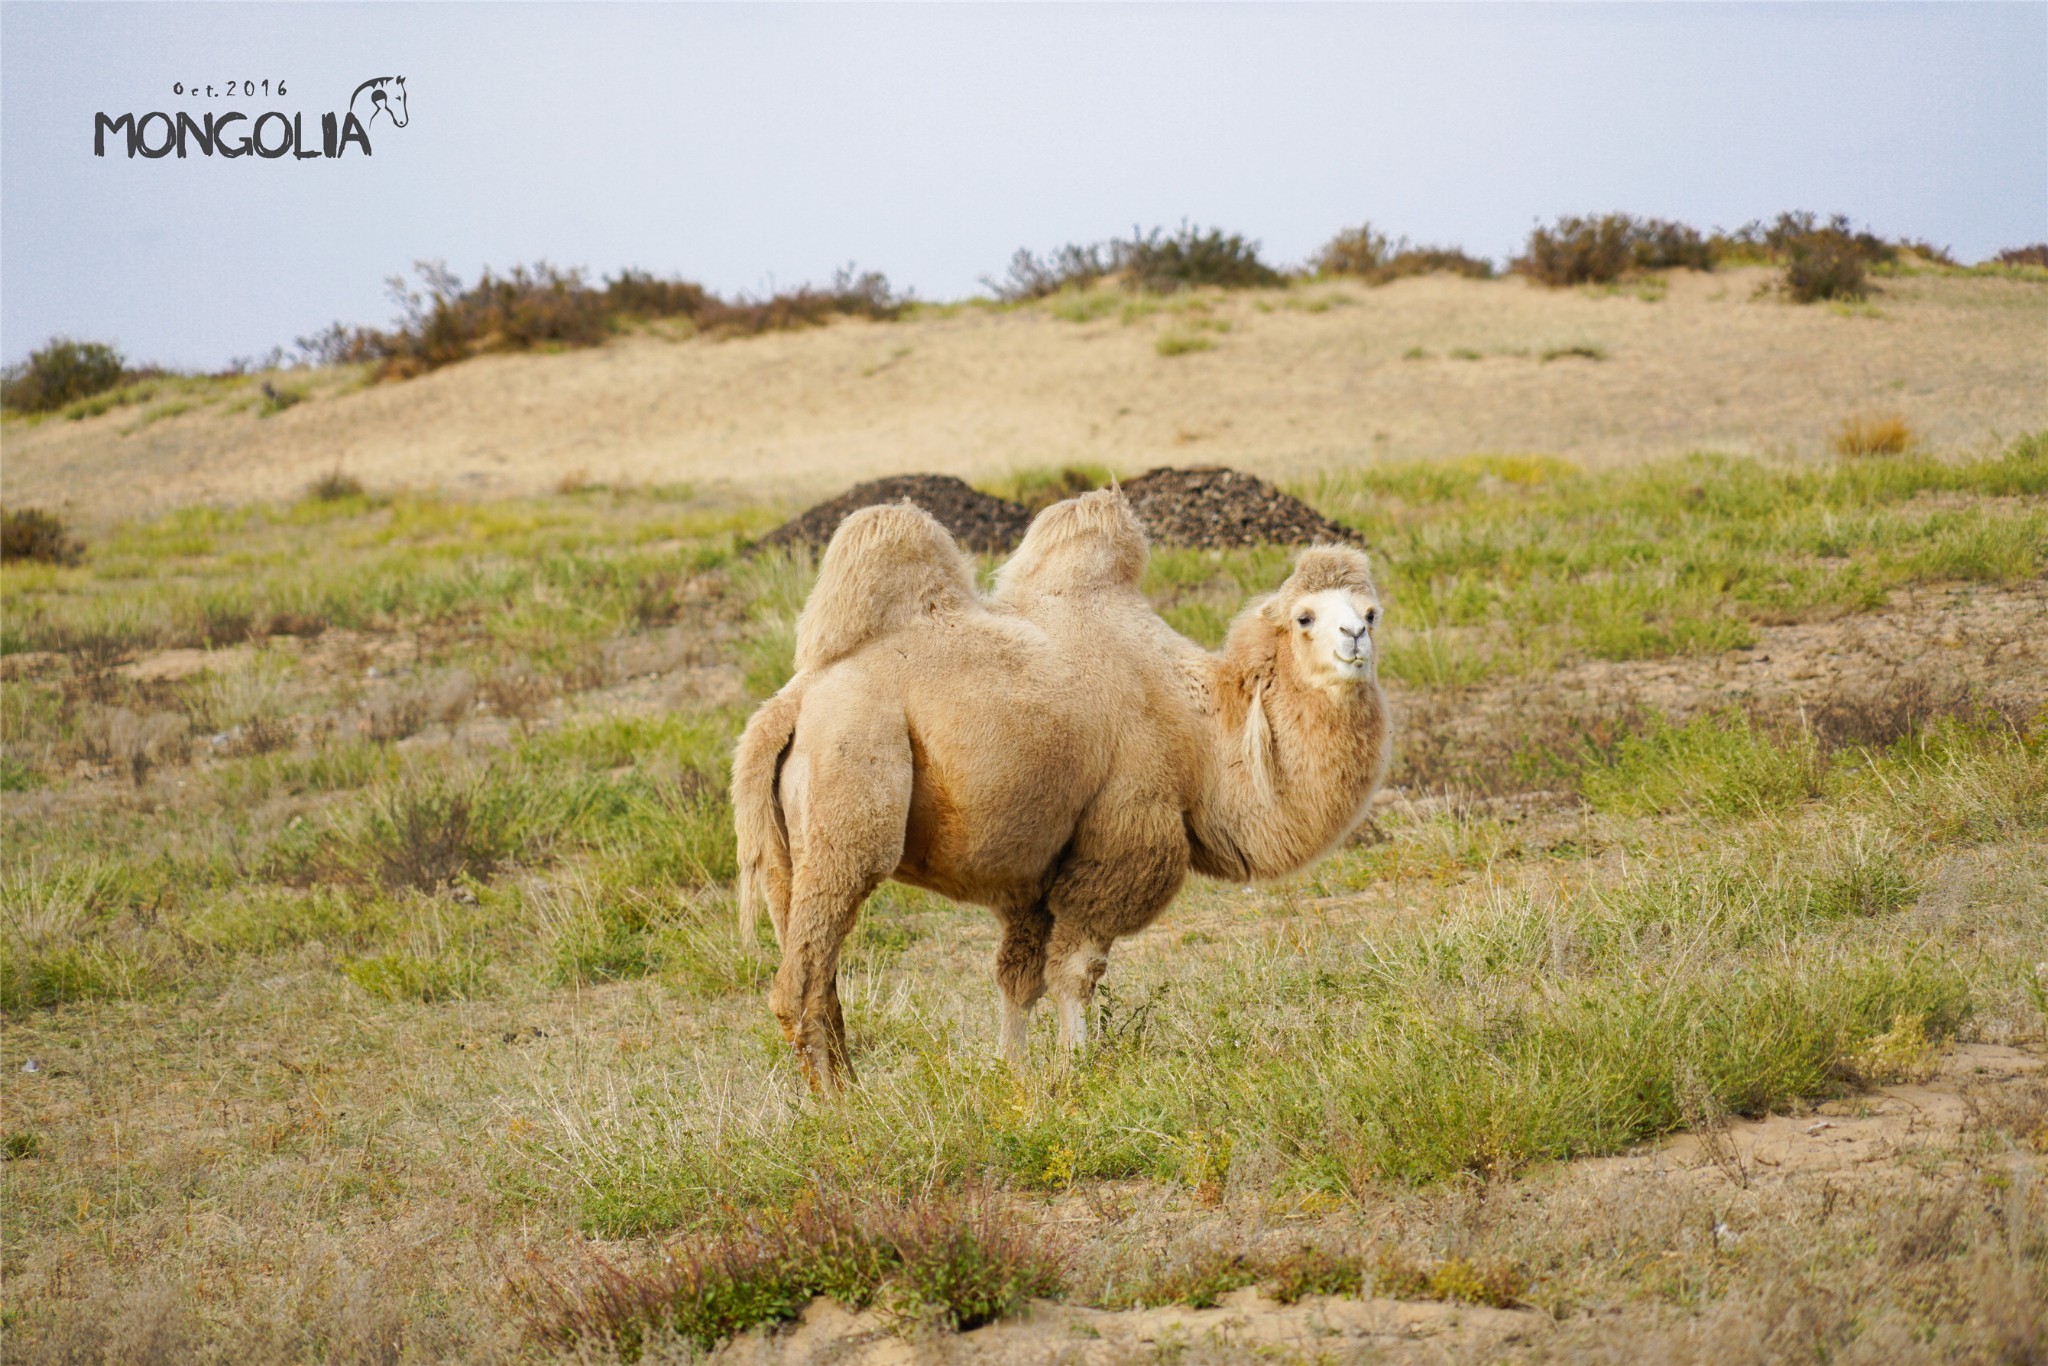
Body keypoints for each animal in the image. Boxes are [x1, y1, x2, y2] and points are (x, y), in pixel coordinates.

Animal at [729, 489, 1384, 1089]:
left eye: (1372, 611)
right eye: (1304, 616)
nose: (1354, 637)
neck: (1198, 727)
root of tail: (789, 705)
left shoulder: (1033, 873)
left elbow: (1018, 977)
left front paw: (1011, 1073)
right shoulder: (1120, 836)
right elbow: (1076, 971)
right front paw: (1078, 1069)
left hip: (788, 852)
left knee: (818, 971)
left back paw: (843, 1090)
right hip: (853, 783)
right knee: (801, 983)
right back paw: (840, 1108)